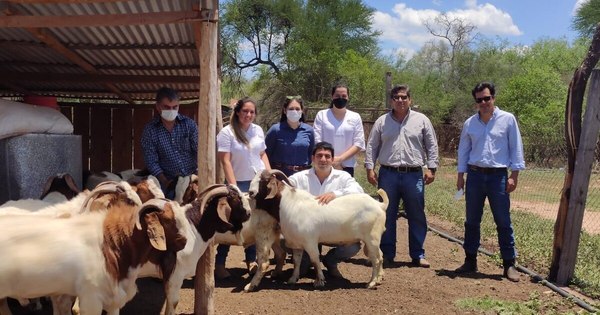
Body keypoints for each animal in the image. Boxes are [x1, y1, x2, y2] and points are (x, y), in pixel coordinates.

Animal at [248, 172, 390, 290]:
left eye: (264, 180)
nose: (250, 192)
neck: (289, 204)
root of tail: (380, 205)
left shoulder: (310, 242)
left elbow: (315, 260)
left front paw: (319, 281)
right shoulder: (296, 244)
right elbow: (297, 261)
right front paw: (292, 279)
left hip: (372, 238)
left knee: (376, 260)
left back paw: (371, 283)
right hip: (372, 241)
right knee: (380, 255)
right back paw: (379, 279)